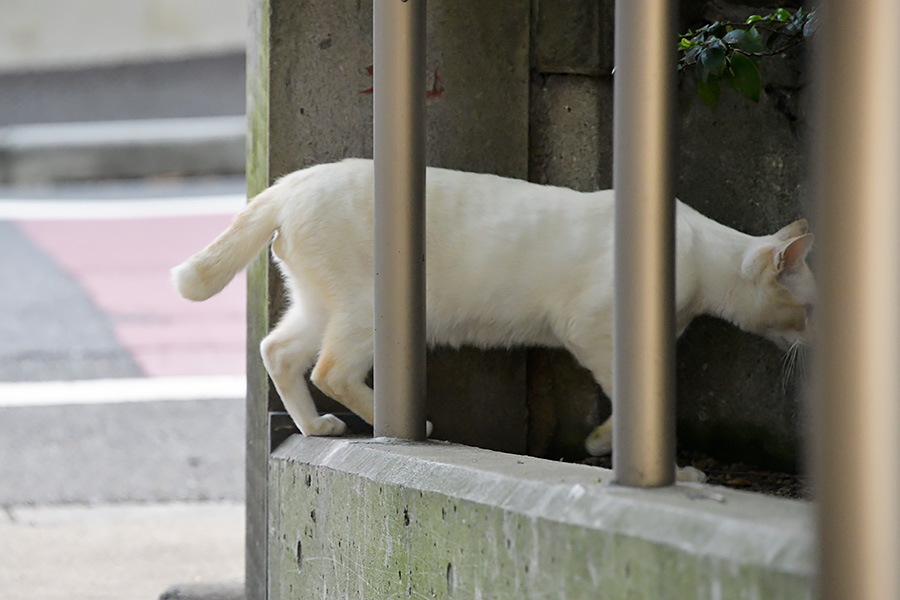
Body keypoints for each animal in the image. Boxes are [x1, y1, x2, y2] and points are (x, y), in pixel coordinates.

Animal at [171, 158, 816, 460]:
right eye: (810, 311)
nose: (819, 338)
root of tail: (294, 181)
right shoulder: (591, 329)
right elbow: (634, 396)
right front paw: (616, 447)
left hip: (318, 305)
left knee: (278, 350)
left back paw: (314, 426)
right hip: (366, 308)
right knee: (331, 368)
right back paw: (411, 425)